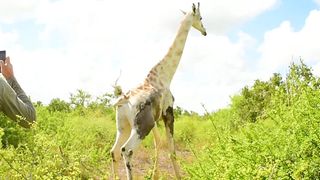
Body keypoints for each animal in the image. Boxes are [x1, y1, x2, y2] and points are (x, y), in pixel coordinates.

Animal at [110, 2, 208, 179]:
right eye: (201, 17)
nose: (205, 31)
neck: (165, 75)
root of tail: (124, 100)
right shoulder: (168, 112)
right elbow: (172, 151)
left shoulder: (158, 118)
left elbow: (160, 145)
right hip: (142, 126)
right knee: (126, 150)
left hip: (123, 126)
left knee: (114, 151)